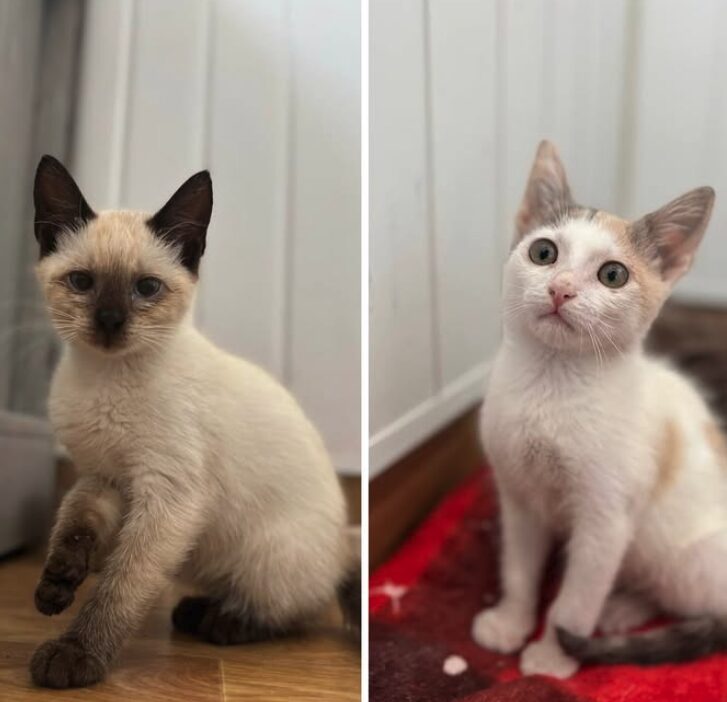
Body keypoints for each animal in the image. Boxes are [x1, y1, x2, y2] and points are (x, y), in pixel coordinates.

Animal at [29, 157, 360, 692]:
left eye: (146, 288)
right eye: (81, 282)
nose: (109, 321)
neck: (106, 377)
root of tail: (342, 549)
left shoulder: (168, 496)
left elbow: (122, 586)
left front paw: (74, 655)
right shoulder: (107, 478)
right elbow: (75, 526)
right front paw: (56, 585)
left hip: (268, 554)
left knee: (293, 611)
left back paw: (220, 621)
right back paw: (196, 611)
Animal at [470, 140, 724, 680]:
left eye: (613, 275)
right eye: (543, 252)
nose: (561, 288)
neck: (550, 387)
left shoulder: (606, 521)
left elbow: (575, 598)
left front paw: (550, 655)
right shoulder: (518, 495)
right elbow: (519, 568)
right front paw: (511, 622)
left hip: (677, 551)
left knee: (691, 600)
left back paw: (621, 609)